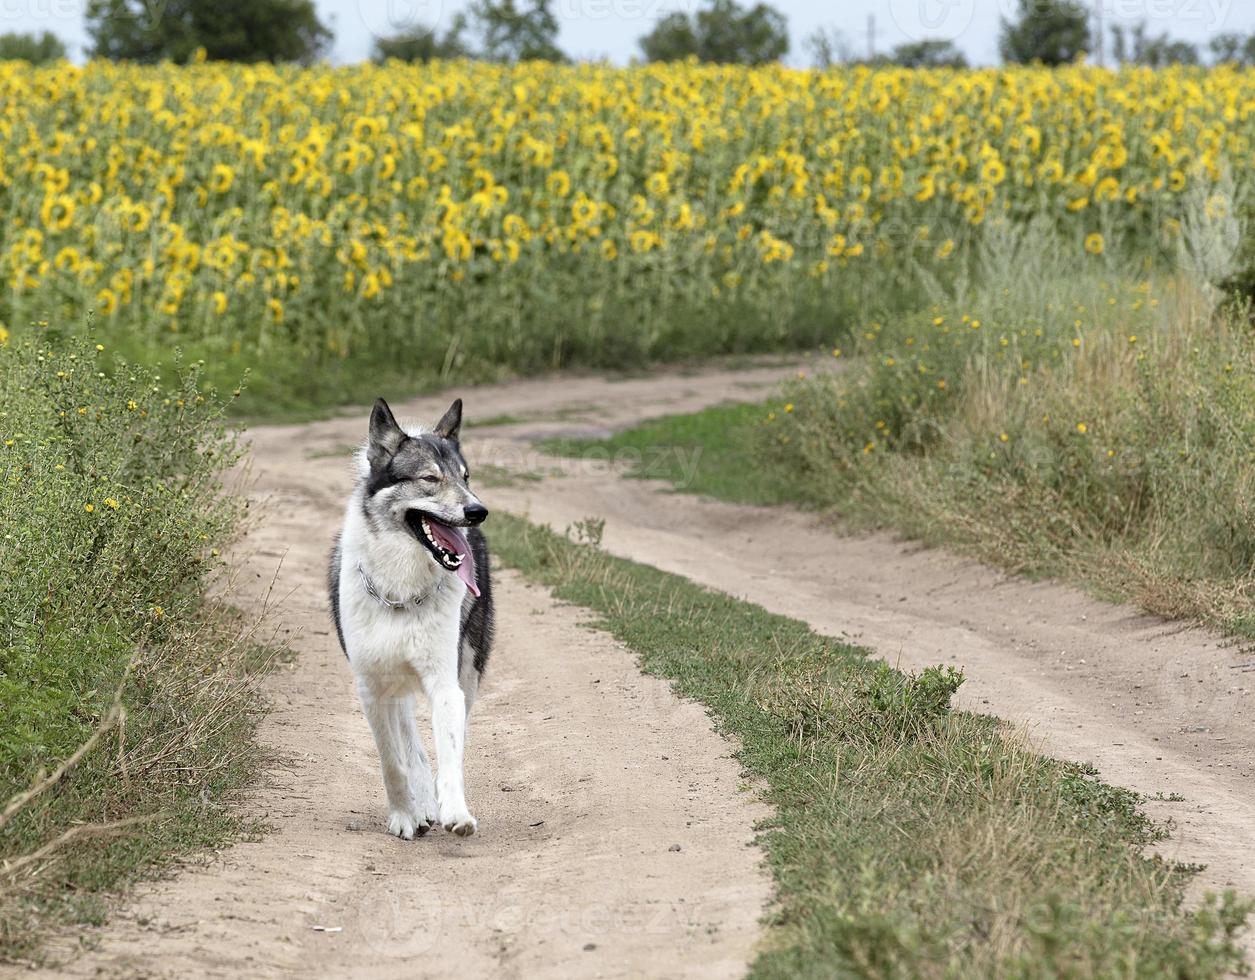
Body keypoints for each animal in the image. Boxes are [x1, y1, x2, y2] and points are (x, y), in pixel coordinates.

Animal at [328, 394, 494, 838]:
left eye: (466, 477)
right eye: (430, 479)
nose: (478, 510)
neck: (401, 594)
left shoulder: (445, 684)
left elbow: (450, 756)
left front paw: (455, 812)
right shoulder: (372, 690)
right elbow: (392, 762)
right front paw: (404, 815)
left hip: (468, 670)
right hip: (395, 688)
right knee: (410, 745)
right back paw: (420, 806)